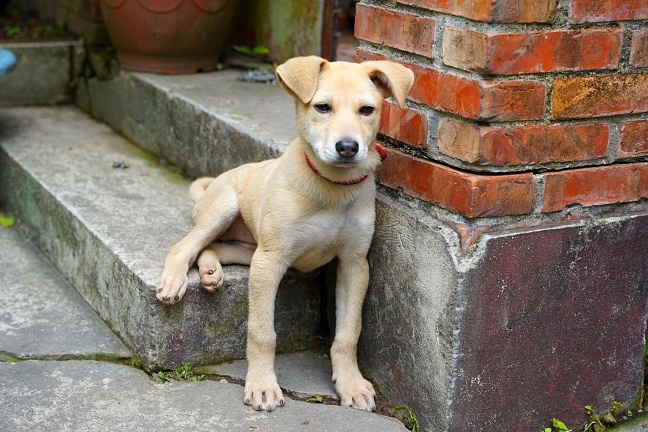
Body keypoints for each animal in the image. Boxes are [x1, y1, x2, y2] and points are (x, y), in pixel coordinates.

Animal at [155, 56, 412, 412]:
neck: (333, 188)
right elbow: (262, 333)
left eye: (367, 110)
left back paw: (210, 272)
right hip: (225, 208)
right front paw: (262, 386)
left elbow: (349, 333)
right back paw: (174, 281)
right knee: (186, 245)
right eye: (322, 107)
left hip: (249, 248)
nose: (348, 147)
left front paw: (351, 383)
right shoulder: (270, 262)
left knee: (213, 246)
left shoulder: (355, 264)